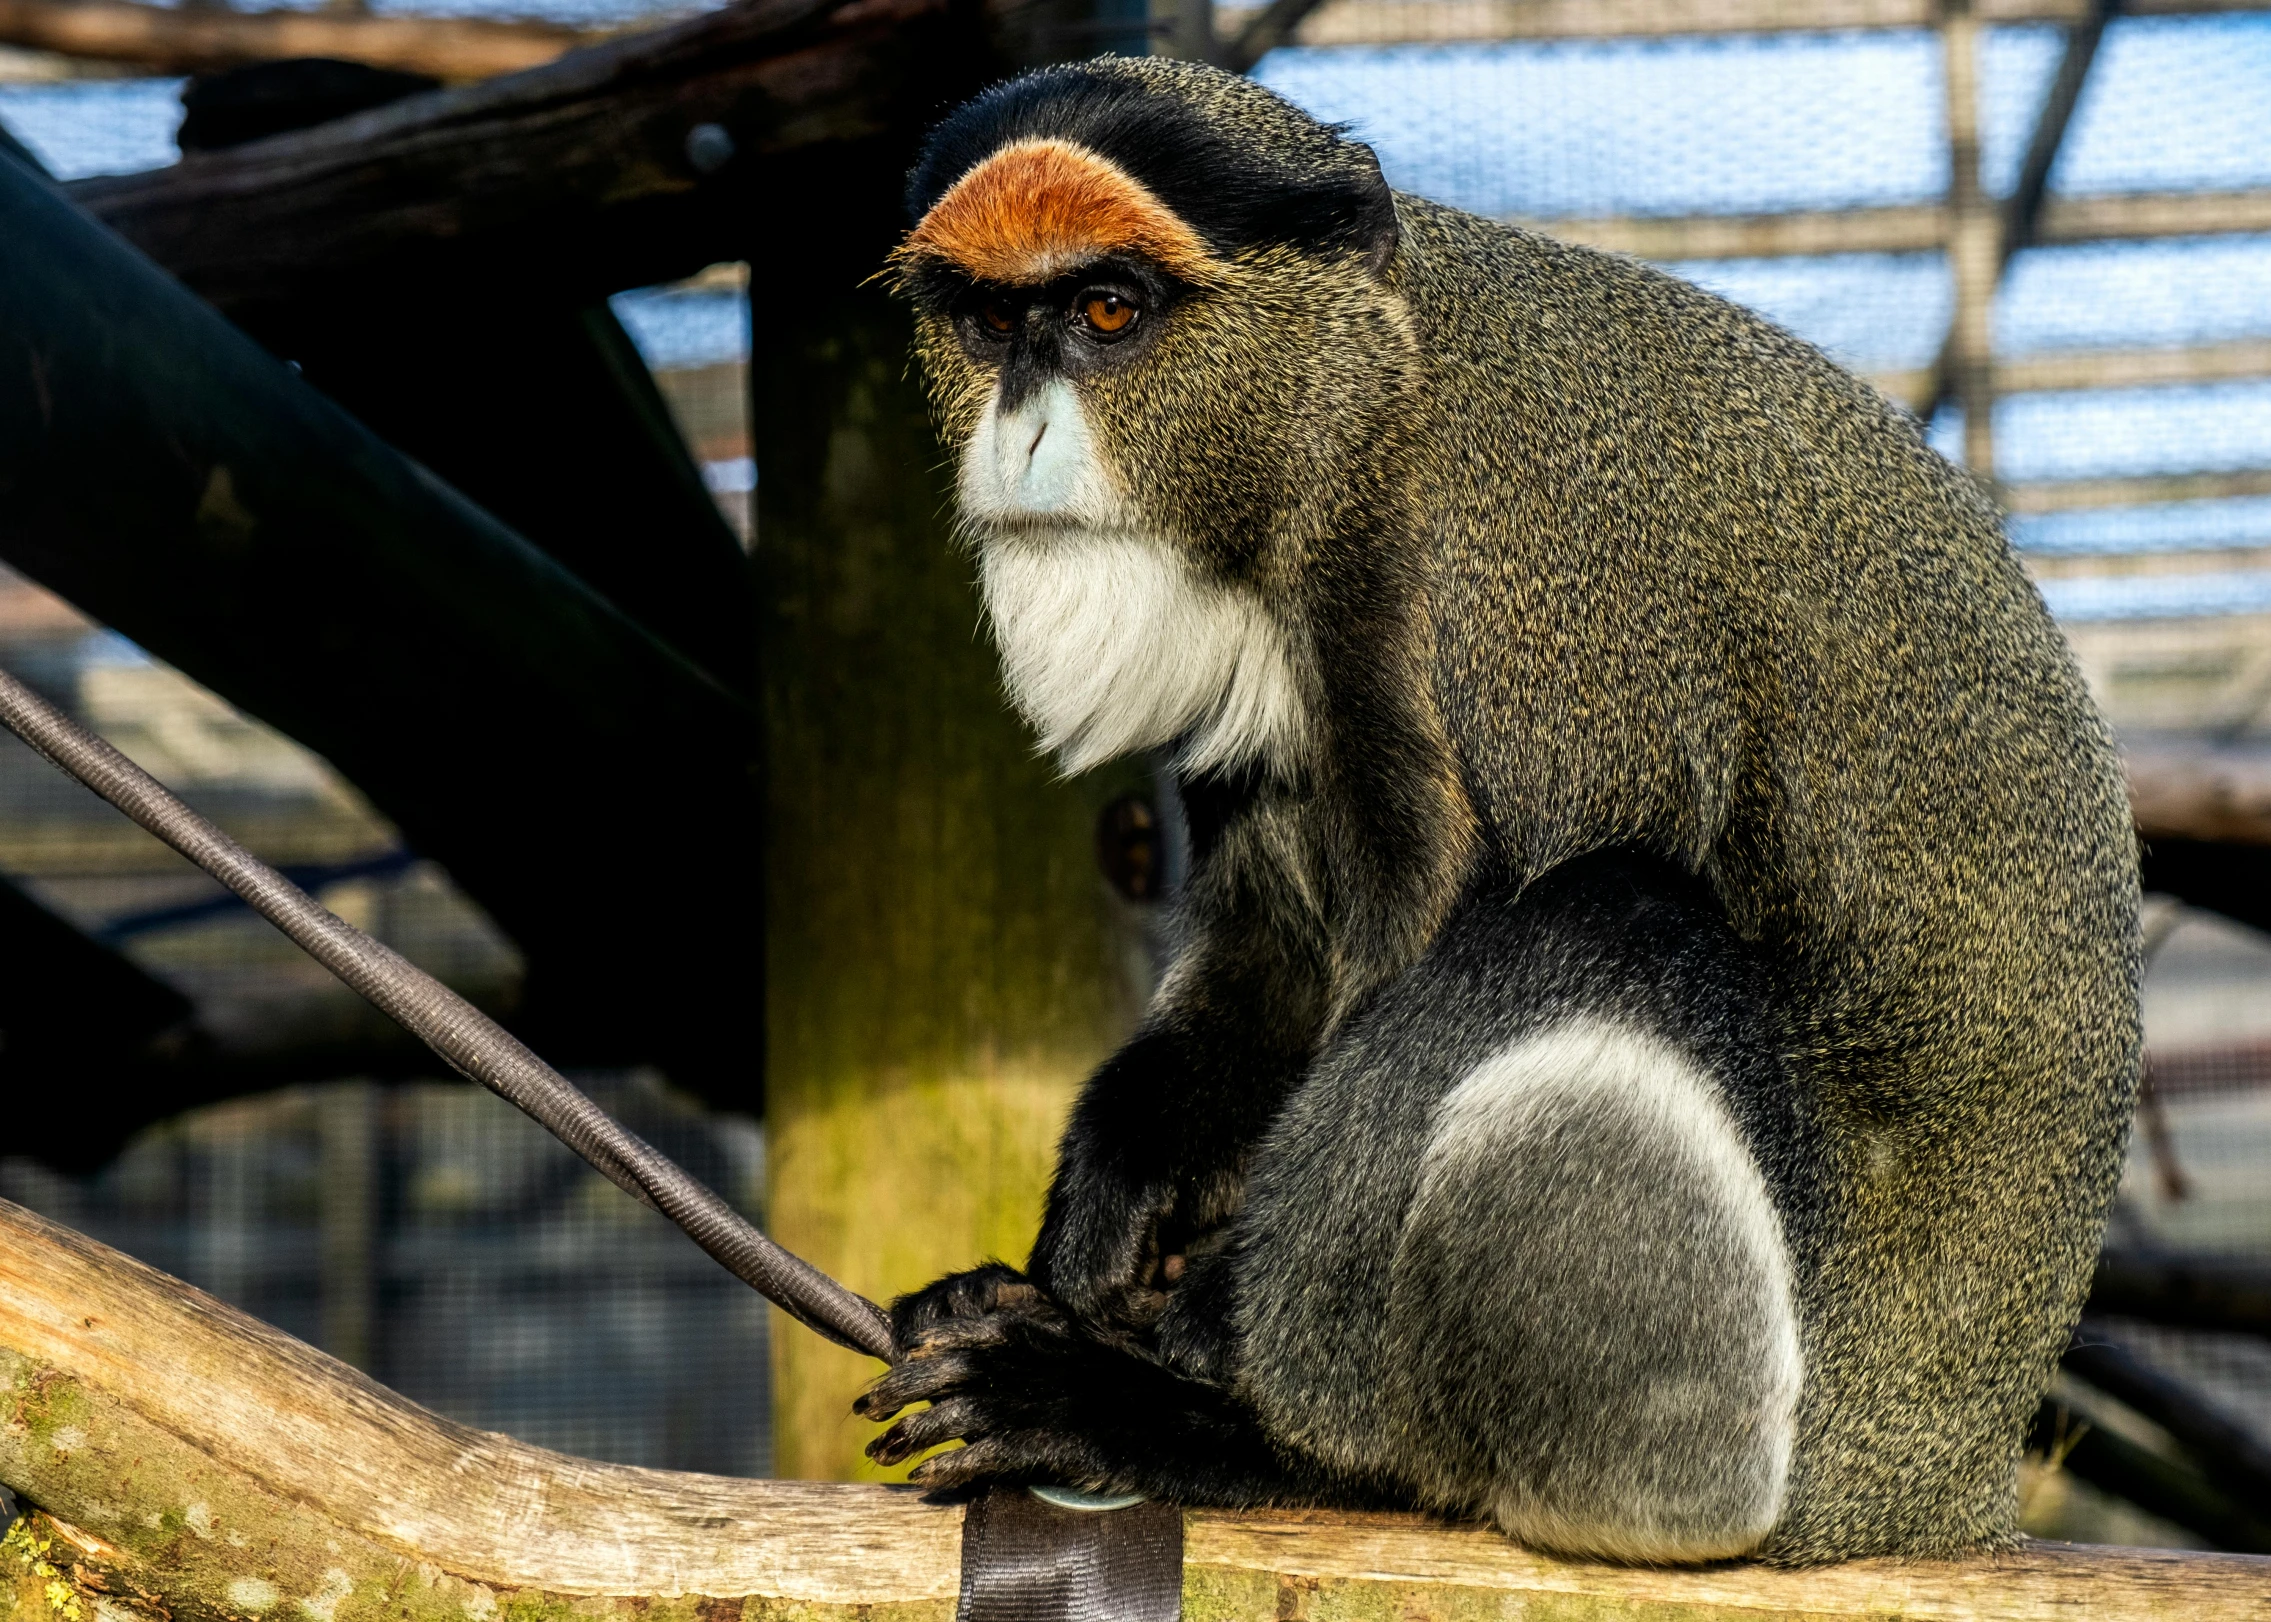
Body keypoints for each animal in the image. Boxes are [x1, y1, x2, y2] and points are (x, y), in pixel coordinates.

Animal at [853, 56, 2143, 1562]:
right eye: (994, 321)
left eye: (1108, 311)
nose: (1017, 429)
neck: (1358, 422)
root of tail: (1946, 1495)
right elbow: (1267, 958)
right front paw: (1096, 1210)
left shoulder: (1540, 585)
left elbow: (1451, 960)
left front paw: (1162, 1360)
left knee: (1603, 918)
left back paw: (1239, 1434)